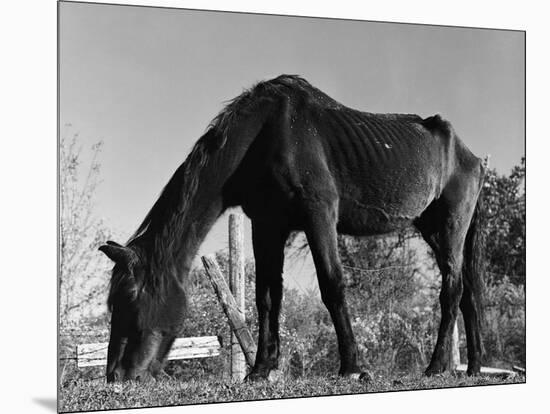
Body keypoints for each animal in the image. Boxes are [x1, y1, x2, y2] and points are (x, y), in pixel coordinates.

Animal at [100, 74, 488, 382]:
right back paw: (472, 367)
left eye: (130, 298)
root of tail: (473, 157)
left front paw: (352, 367)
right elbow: (267, 297)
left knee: (451, 291)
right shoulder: (267, 225)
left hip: (450, 228)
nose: (117, 375)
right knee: (467, 293)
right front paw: (261, 369)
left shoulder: (319, 215)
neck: (266, 135)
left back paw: (436, 366)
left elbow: (332, 286)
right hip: (435, 231)